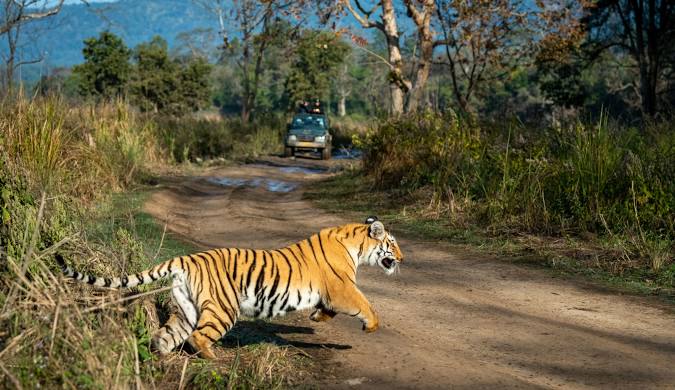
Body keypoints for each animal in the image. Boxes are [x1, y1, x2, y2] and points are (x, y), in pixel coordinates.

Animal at [56, 216, 402, 360]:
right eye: (392, 243)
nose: (402, 258)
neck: (356, 245)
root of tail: (185, 258)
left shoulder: (331, 293)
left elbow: (329, 310)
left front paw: (317, 318)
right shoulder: (342, 288)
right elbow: (365, 303)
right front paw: (372, 326)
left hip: (186, 308)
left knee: (165, 335)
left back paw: (162, 358)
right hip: (223, 308)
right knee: (197, 337)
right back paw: (214, 359)